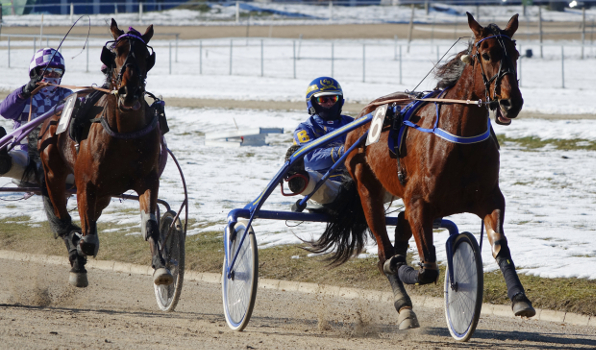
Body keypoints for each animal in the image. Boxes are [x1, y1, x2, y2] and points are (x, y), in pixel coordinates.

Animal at [38, 18, 171, 288]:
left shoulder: (147, 180)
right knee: (64, 220)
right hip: (54, 176)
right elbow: (86, 239)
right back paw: (76, 259)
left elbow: (150, 226)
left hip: (105, 194)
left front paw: (160, 266)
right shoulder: (85, 184)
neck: (124, 133)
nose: (129, 92)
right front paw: (80, 247)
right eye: (115, 52)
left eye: (145, 55)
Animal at [308, 13, 536, 328]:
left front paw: (519, 298)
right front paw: (405, 269)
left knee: (401, 226)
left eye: (515, 54)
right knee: (384, 251)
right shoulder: (419, 203)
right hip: (368, 190)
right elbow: (426, 268)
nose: (510, 102)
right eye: (486, 55)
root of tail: (365, 114)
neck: (459, 141)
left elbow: (500, 246)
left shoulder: (489, 198)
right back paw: (403, 304)